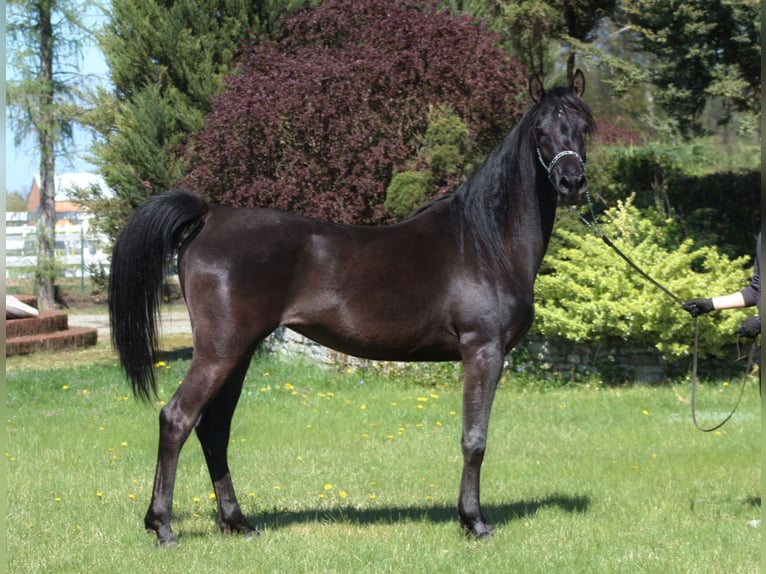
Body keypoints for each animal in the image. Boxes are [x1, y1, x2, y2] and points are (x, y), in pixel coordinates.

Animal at [109, 70, 595, 546]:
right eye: (540, 131)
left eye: (584, 126)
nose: (572, 182)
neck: (485, 242)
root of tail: (210, 216)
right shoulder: (483, 351)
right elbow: (474, 438)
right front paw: (473, 521)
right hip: (220, 352)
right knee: (177, 418)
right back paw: (163, 526)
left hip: (238, 353)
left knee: (214, 428)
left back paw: (237, 522)